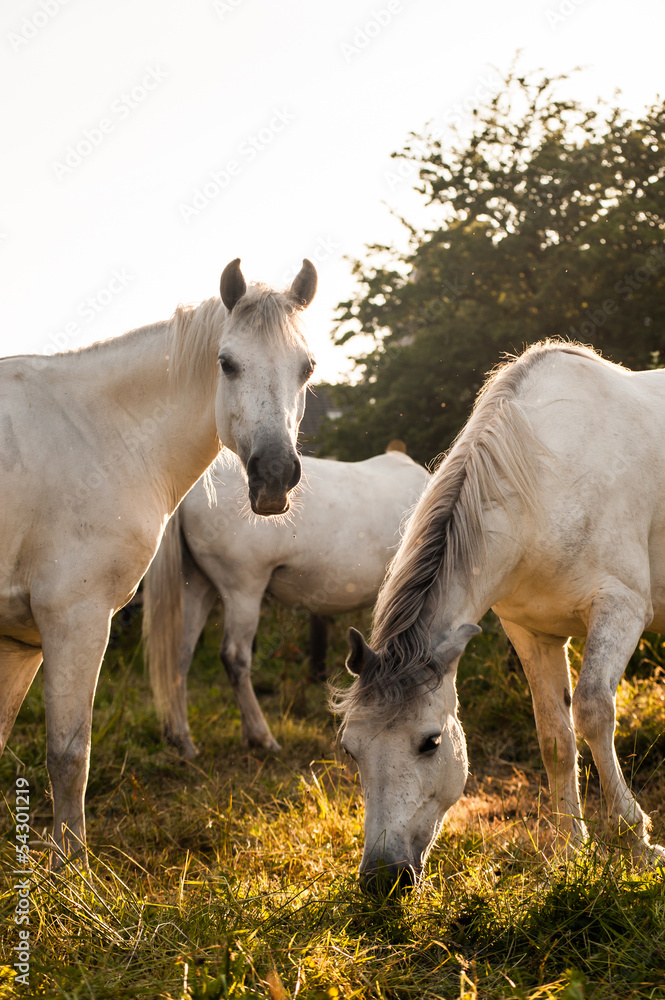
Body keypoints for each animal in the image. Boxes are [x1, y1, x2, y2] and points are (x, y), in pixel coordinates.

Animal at [0, 257, 317, 866]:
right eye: (227, 363)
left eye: (307, 367)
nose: (273, 474)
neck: (97, 437)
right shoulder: (74, 619)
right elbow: (69, 755)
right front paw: (70, 871)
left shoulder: (21, 639)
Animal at [143, 449, 429, 757]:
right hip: (243, 590)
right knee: (235, 658)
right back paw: (261, 736)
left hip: (197, 587)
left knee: (179, 655)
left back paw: (182, 740)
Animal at [334, 340, 665, 892]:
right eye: (350, 750)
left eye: (430, 743)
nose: (383, 877)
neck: (548, 479)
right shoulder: (532, 632)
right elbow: (555, 736)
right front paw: (567, 854)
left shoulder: (621, 608)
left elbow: (593, 711)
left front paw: (637, 842)